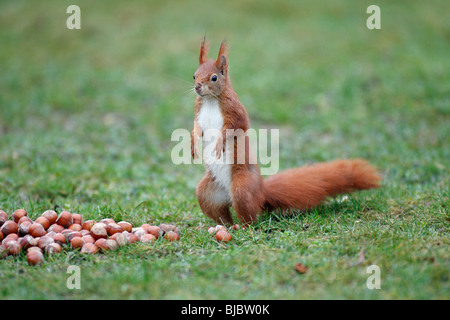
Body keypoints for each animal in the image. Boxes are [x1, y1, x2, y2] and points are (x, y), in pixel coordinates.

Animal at [192, 38, 382, 226]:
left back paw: (242, 227)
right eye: (194, 75)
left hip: (241, 188)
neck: (210, 100)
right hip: (208, 193)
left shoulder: (235, 110)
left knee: (250, 217)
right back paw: (224, 225)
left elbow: (237, 126)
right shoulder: (198, 112)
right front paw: (193, 144)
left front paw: (219, 142)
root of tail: (261, 191)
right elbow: (196, 128)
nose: (197, 87)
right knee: (221, 212)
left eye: (214, 77)